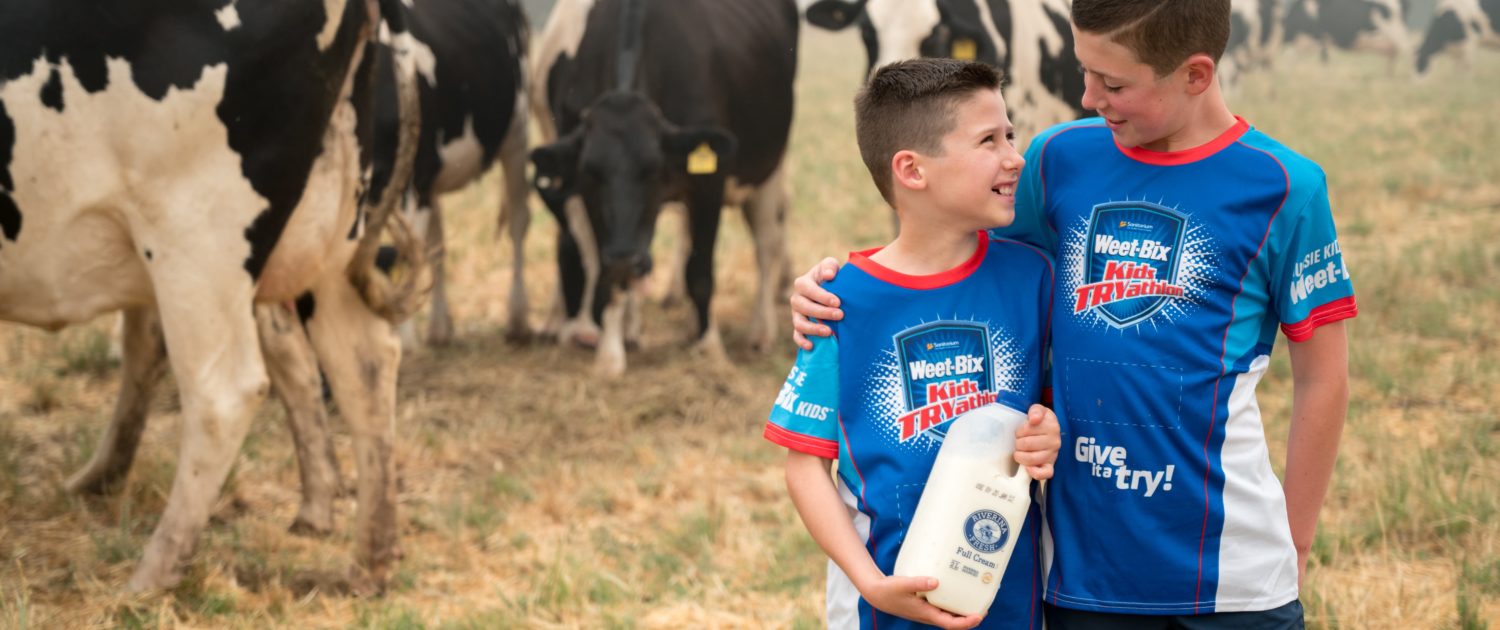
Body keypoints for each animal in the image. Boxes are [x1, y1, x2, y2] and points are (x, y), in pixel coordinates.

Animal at [1, 0, 423, 597]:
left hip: (197, 235)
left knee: (224, 391)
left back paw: (151, 576)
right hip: (334, 224)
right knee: (363, 362)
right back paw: (369, 561)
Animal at [534, 0, 804, 376]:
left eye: (652, 169)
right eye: (592, 173)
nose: (625, 256)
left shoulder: (709, 181)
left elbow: (700, 273)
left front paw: (710, 347)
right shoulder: (591, 202)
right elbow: (608, 271)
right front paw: (610, 354)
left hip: (770, 167)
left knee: (767, 244)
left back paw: (759, 331)